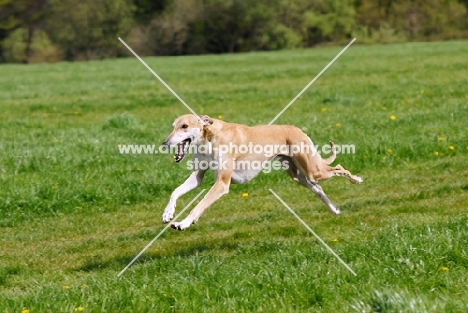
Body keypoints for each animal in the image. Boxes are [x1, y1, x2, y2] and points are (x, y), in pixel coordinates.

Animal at [161, 114, 362, 229]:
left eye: (184, 126)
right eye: (172, 126)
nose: (165, 144)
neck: (209, 137)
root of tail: (297, 129)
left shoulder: (222, 183)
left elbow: (199, 205)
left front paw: (183, 223)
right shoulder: (198, 176)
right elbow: (176, 191)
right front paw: (168, 213)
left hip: (314, 170)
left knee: (338, 168)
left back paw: (357, 180)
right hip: (298, 175)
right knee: (318, 188)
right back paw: (334, 210)